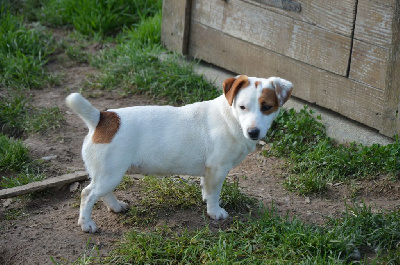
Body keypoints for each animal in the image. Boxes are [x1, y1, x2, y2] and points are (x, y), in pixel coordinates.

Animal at [66, 74, 294, 231]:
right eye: (242, 107)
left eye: (267, 107)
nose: (253, 132)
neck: (230, 117)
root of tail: (102, 118)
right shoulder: (217, 169)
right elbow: (214, 193)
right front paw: (215, 212)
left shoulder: (209, 171)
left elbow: (206, 189)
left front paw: (206, 200)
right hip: (110, 174)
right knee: (88, 194)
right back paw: (86, 224)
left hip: (108, 174)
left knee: (103, 193)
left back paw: (116, 207)